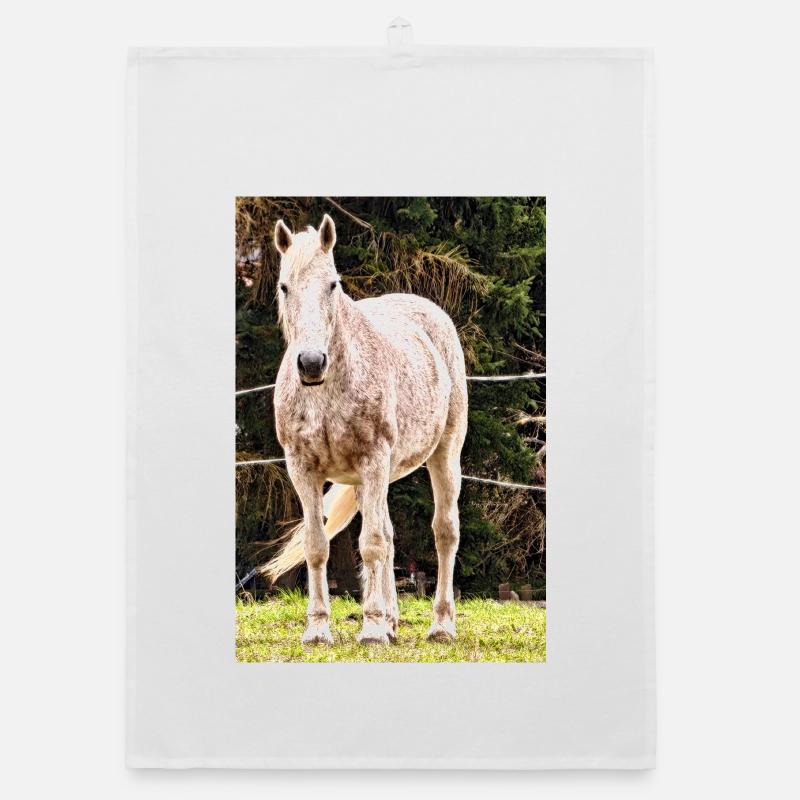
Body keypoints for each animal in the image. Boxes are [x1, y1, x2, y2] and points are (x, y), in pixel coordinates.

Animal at [261, 214, 468, 645]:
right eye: (284, 287)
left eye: (332, 284)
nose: (311, 362)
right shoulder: (302, 468)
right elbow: (318, 545)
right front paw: (318, 629)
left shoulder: (373, 460)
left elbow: (370, 544)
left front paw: (371, 629)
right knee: (388, 535)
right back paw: (392, 621)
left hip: (444, 455)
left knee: (444, 532)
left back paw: (441, 625)